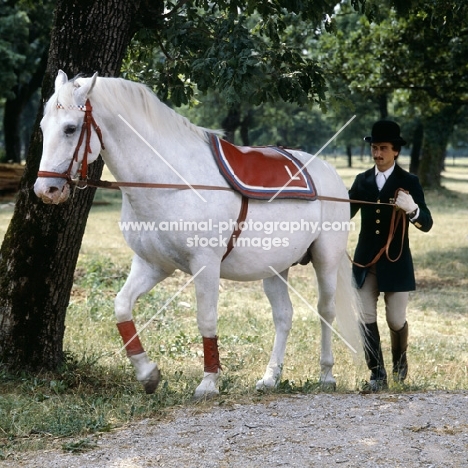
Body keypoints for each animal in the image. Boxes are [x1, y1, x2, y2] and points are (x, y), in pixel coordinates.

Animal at [34, 70, 364, 398]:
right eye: (42, 127)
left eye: (70, 128)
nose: (45, 189)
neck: (171, 181)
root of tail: (330, 173)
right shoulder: (152, 264)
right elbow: (122, 307)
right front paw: (147, 373)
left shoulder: (205, 264)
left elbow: (206, 320)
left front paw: (208, 382)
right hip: (275, 268)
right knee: (284, 316)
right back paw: (270, 378)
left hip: (325, 260)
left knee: (326, 311)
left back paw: (326, 375)